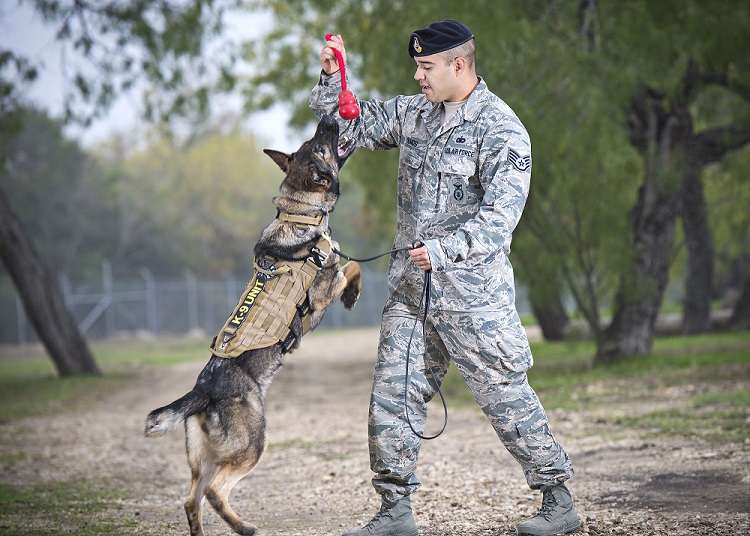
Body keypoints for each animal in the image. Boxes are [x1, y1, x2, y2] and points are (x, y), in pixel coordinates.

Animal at [145, 115, 362, 532]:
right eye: (320, 146)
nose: (328, 118)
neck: (300, 210)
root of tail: (203, 391)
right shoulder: (326, 286)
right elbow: (353, 266)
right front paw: (353, 295)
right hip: (252, 444)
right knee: (215, 492)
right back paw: (243, 527)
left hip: (205, 459)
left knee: (191, 500)